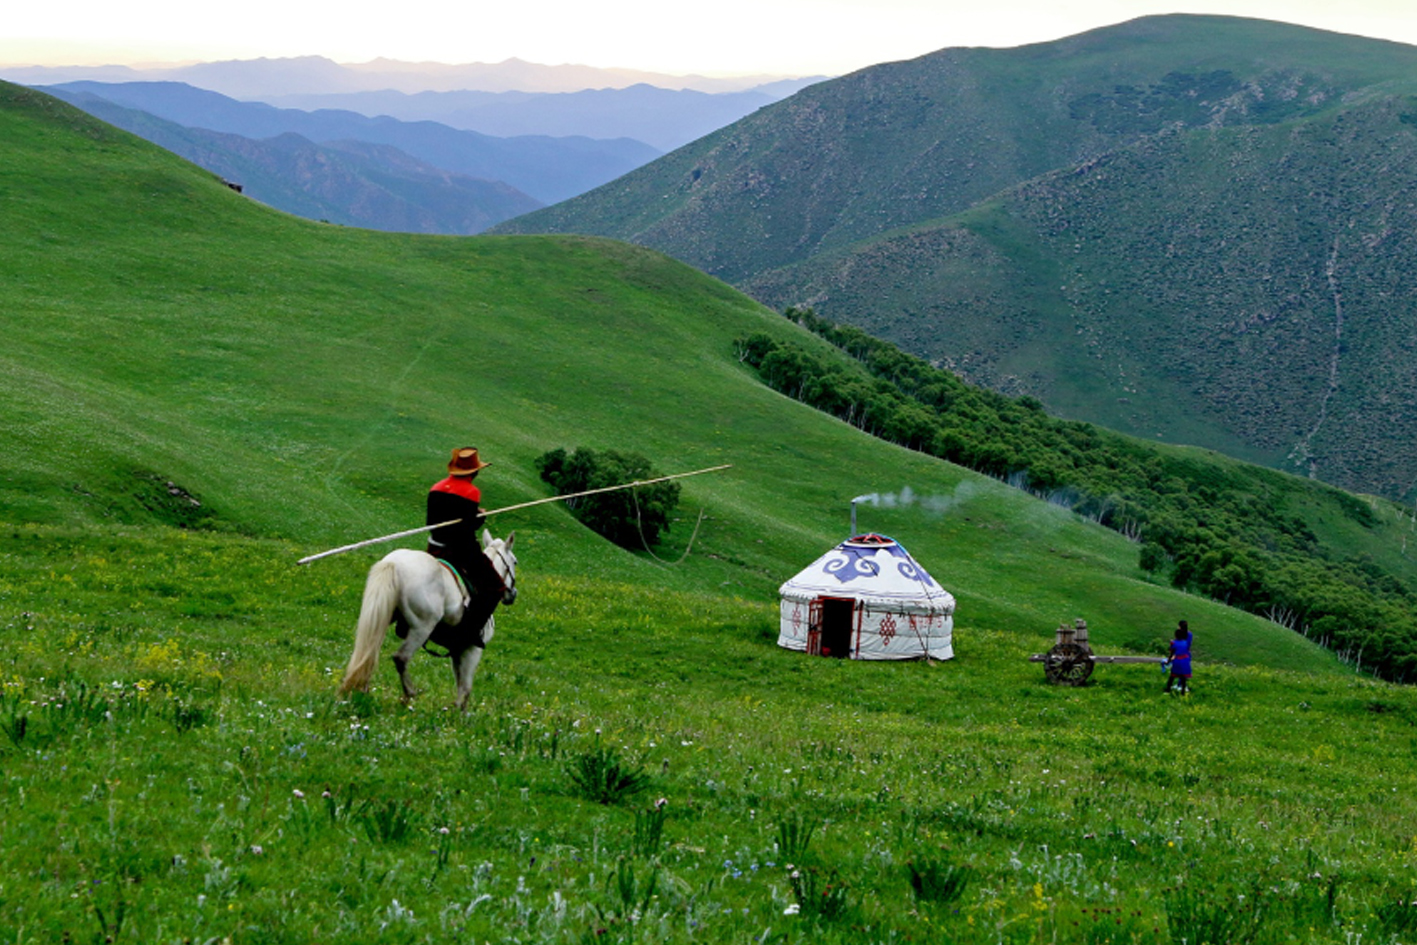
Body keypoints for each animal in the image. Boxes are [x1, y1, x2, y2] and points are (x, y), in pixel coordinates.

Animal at [335, 532, 515, 708]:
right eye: (515, 561)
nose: (512, 594)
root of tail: (394, 563)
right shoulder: (472, 649)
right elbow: (465, 688)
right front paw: (458, 715)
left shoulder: (458, 649)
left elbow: (459, 683)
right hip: (422, 628)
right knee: (400, 658)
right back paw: (409, 695)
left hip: (382, 615)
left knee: (369, 652)